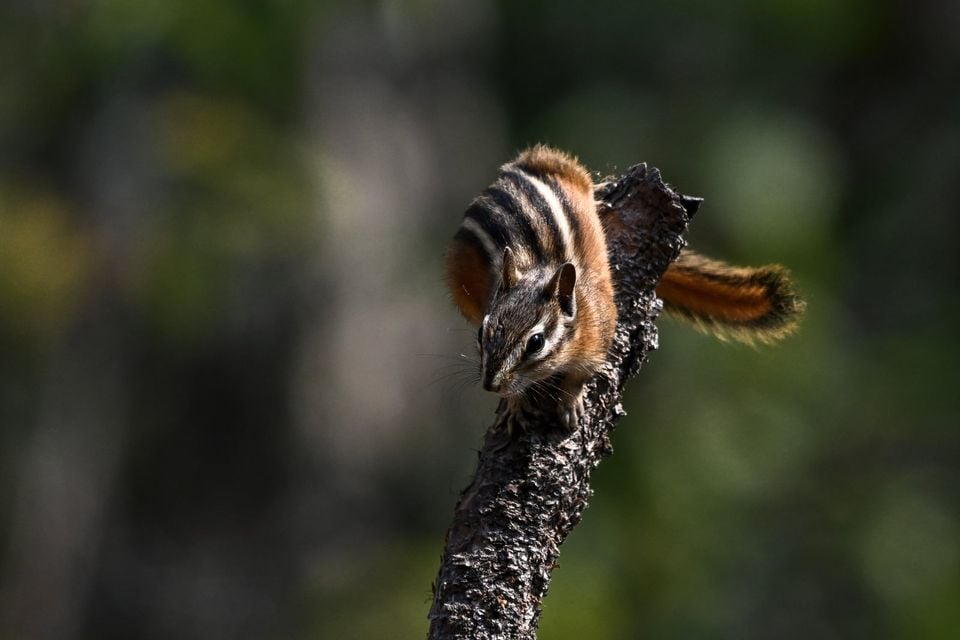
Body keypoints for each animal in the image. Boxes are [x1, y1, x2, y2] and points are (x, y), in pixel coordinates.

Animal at [446, 145, 804, 430]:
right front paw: (516, 404)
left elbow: (583, 374)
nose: (491, 385)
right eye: (482, 332)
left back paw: (600, 192)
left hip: (557, 164)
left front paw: (571, 401)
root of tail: (508, 173)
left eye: (536, 343)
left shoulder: (602, 332)